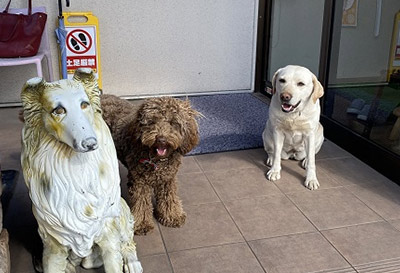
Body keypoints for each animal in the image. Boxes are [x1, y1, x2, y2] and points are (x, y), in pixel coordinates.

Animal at [100, 94, 200, 235]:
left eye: (173, 123)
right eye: (152, 121)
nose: (161, 139)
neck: (157, 160)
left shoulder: (168, 179)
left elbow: (169, 198)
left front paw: (172, 216)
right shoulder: (140, 181)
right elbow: (142, 203)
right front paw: (142, 224)